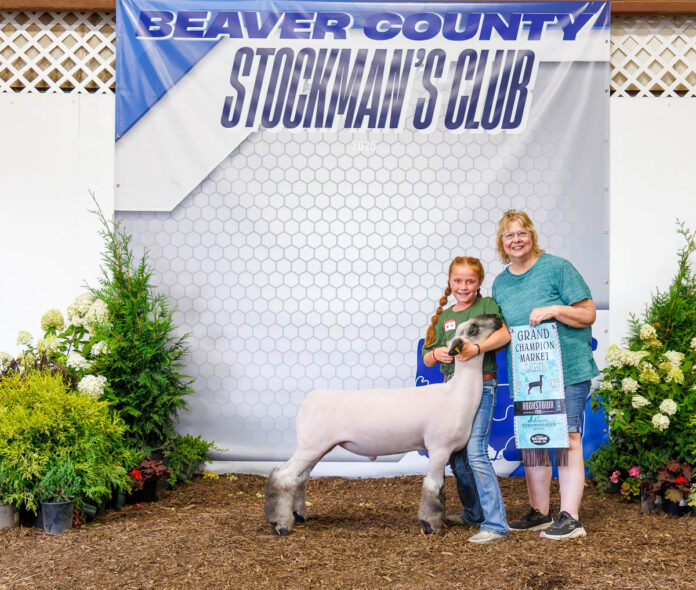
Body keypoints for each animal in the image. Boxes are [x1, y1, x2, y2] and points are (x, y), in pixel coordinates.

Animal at [264, 313, 503, 536]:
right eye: (473, 328)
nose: (497, 317)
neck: (457, 394)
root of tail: (309, 400)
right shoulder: (439, 448)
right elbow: (433, 487)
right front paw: (432, 526)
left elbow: (441, 487)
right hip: (311, 445)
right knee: (283, 477)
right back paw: (281, 525)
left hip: (318, 447)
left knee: (299, 478)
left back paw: (298, 515)